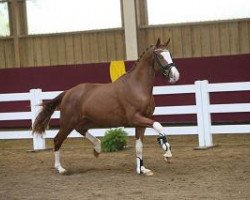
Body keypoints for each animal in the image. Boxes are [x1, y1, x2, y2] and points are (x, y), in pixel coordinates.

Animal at [33, 38, 180, 176]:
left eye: (170, 54)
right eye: (160, 55)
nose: (175, 76)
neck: (137, 86)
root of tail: (68, 92)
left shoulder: (141, 122)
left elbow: (139, 145)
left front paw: (142, 169)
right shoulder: (135, 118)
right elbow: (158, 125)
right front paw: (167, 152)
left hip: (86, 120)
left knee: (81, 130)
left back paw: (97, 148)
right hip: (68, 122)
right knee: (58, 139)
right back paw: (60, 168)